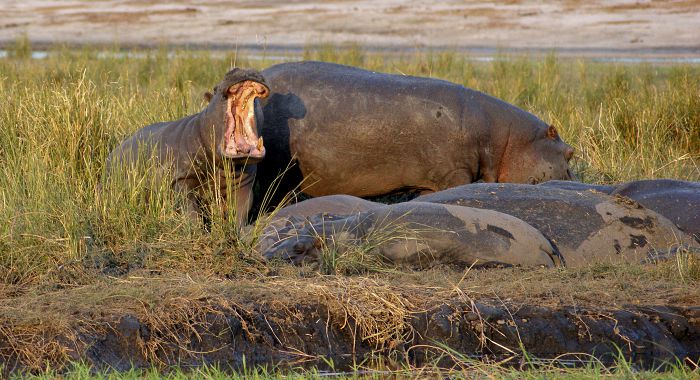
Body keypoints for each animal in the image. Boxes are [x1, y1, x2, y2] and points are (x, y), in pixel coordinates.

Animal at [106, 68, 270, 224]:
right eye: (215, 88)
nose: (242, 69)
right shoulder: (182, 179)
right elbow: (191, 212)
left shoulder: (245, 184)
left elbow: (241, 211)